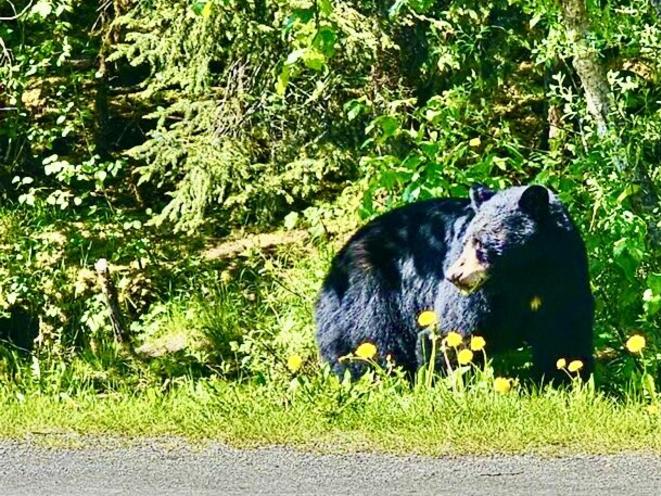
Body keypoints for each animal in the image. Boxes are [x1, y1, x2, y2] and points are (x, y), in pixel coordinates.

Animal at [315, 184, 594, 382]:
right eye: (467, 239)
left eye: (481, 242)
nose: (453, 275)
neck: (524, 275)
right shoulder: (478, 296)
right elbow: (453, 331)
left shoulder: (564, 279)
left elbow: (564, 333)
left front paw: (564, 381)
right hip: (368, 289)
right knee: (366, 341)